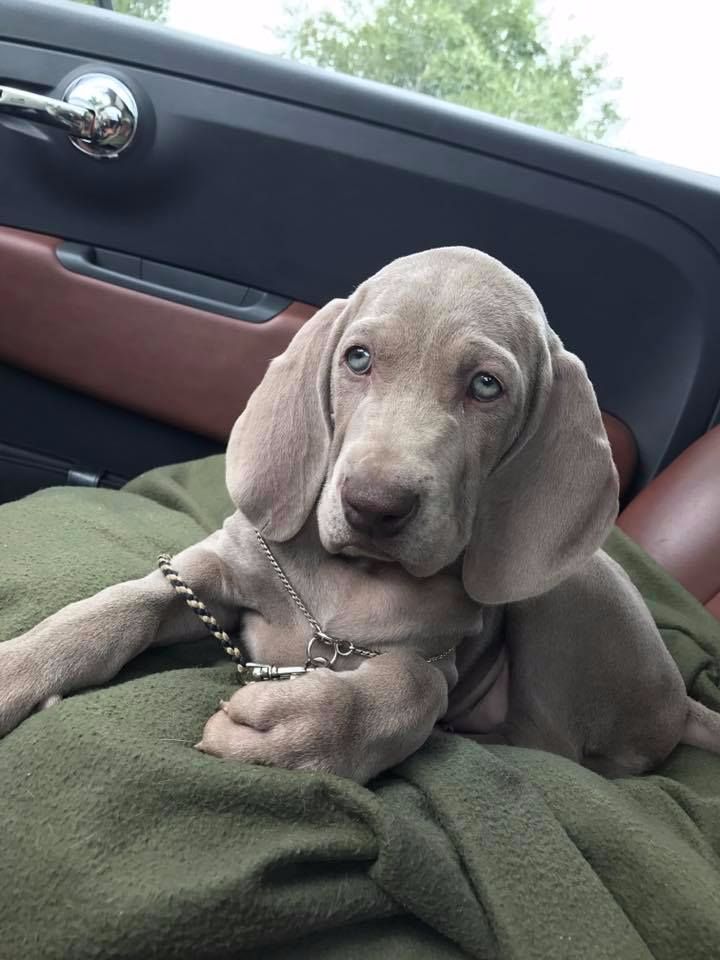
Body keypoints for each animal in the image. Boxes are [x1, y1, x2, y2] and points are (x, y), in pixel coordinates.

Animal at [1, 247, 719, 783]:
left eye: (486, 385)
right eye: (358, 358)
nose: (374, 505)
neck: (346, 582)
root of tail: (681, 701)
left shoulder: (434, 656)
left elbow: (413, 689)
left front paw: (300, 731)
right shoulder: (218, 566)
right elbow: (126, 603)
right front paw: (22, 666)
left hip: (569, 589)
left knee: (550, 747)